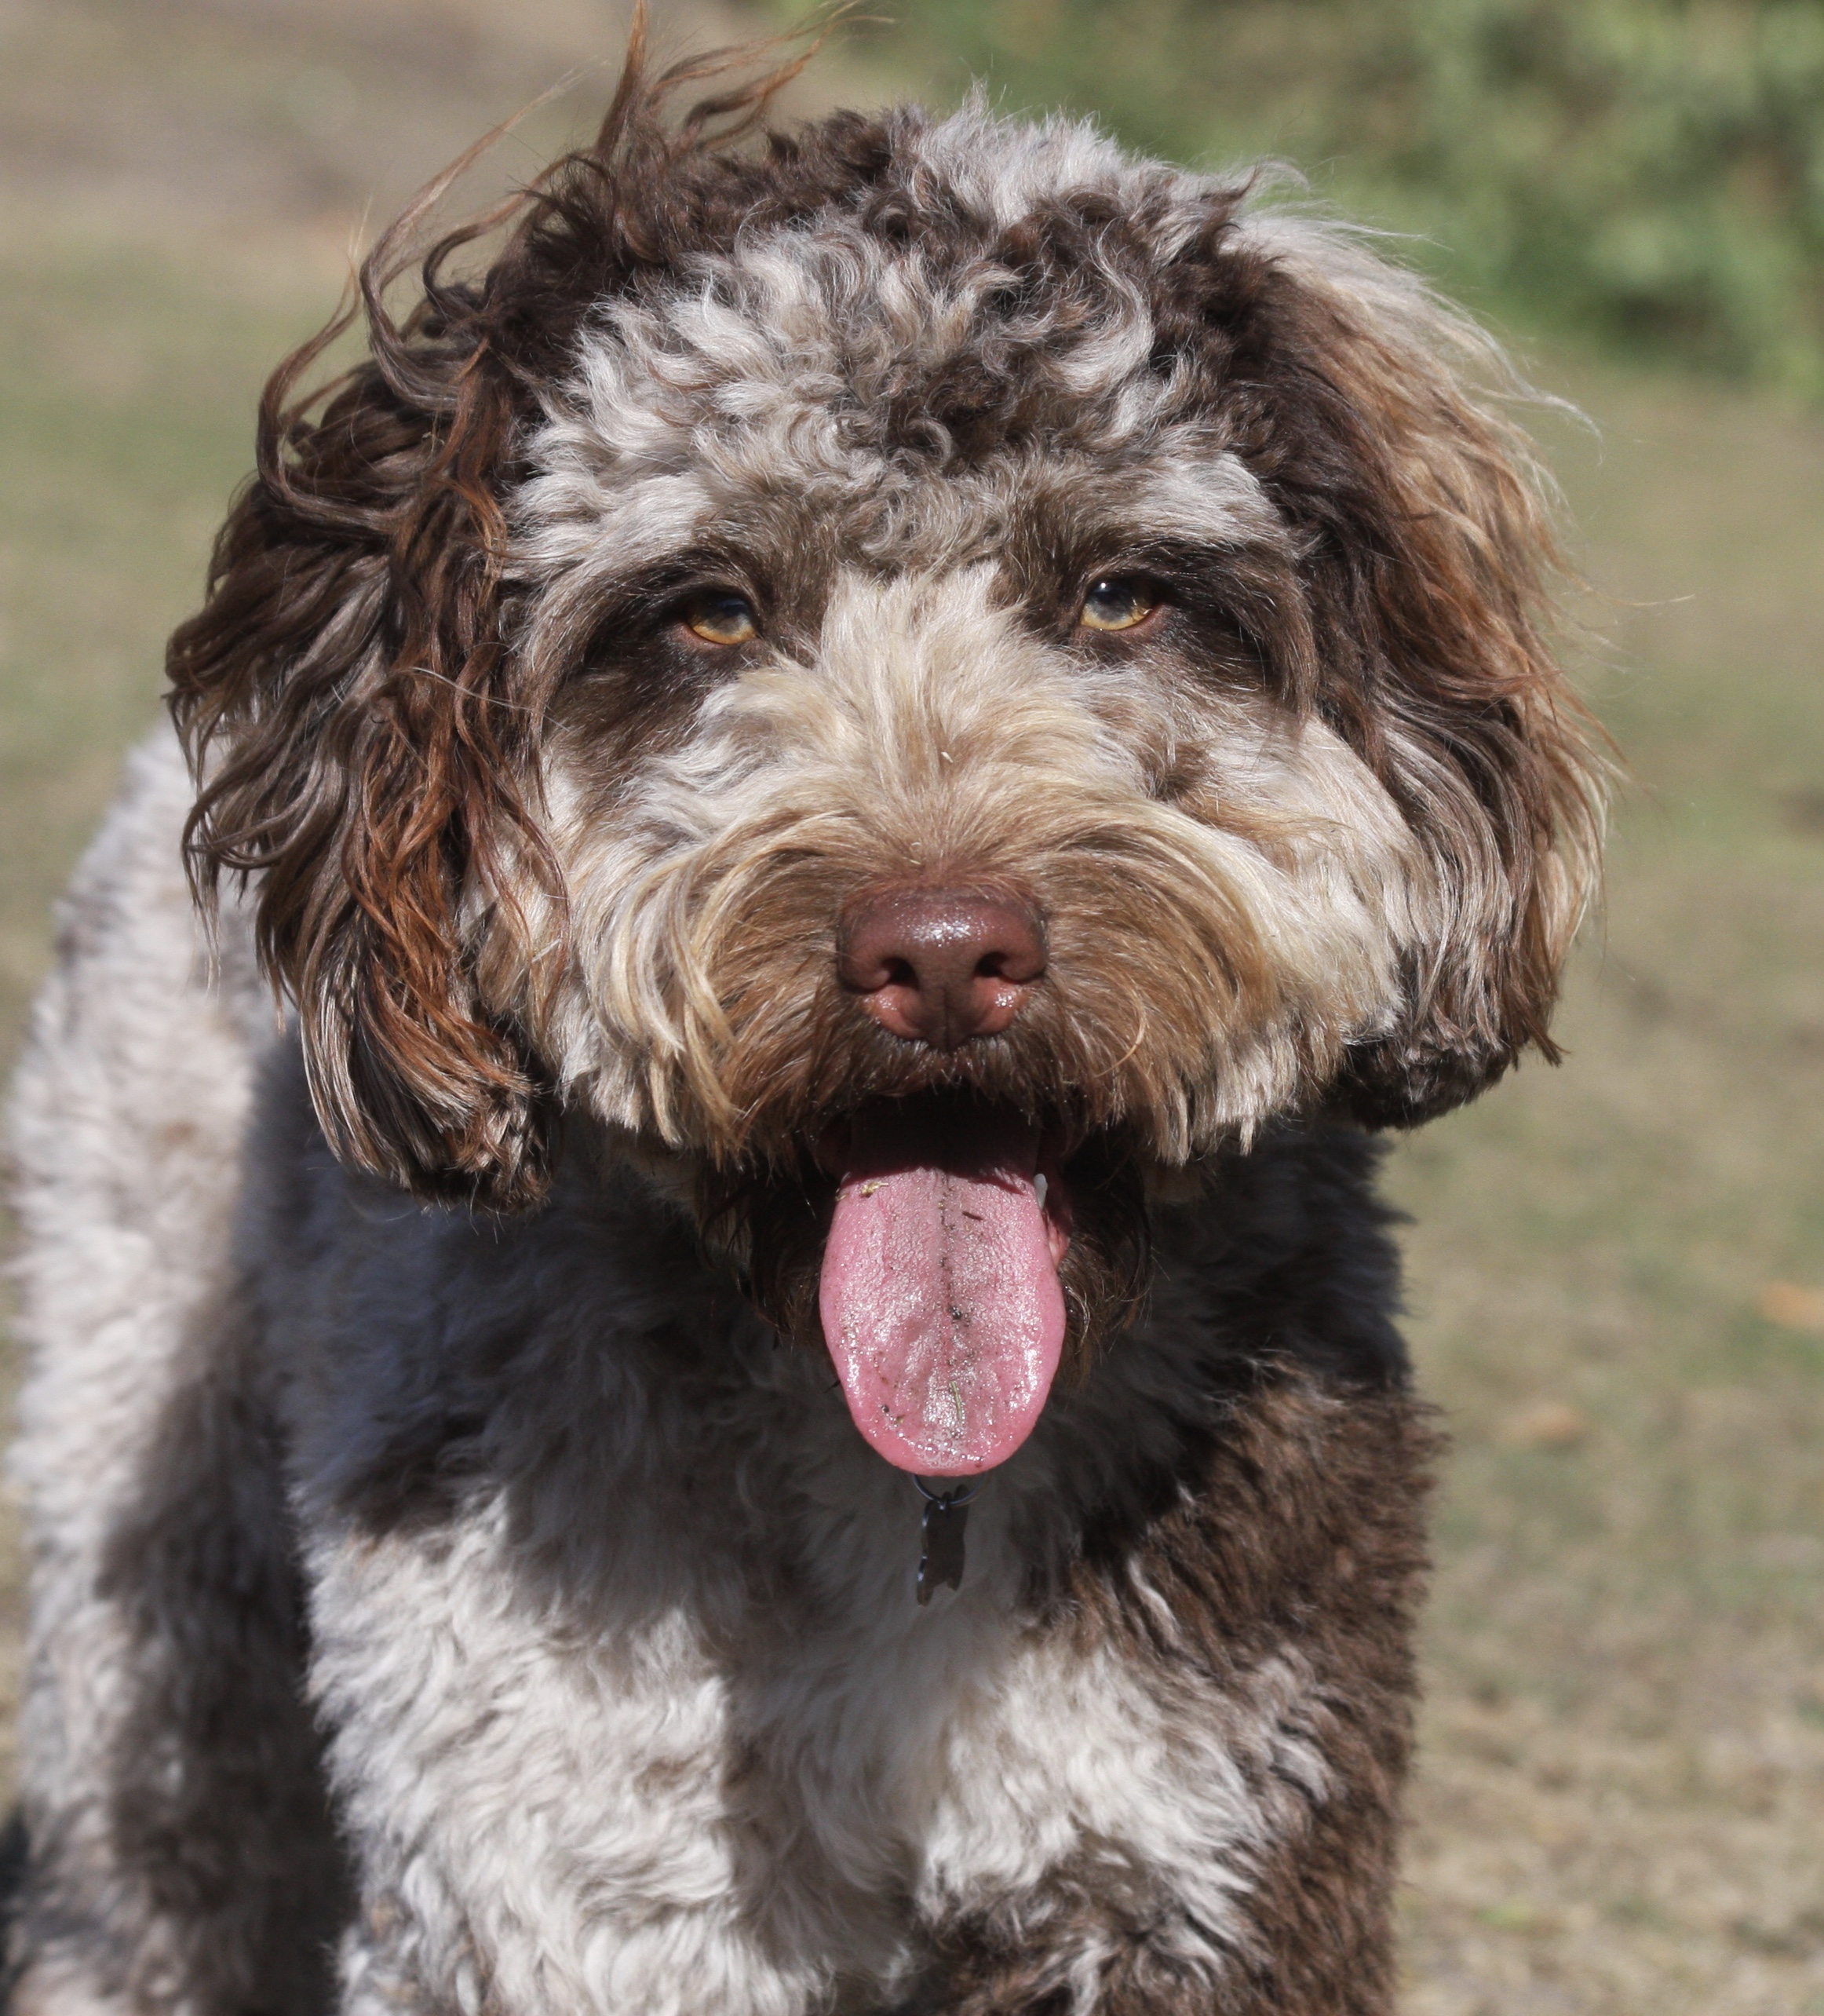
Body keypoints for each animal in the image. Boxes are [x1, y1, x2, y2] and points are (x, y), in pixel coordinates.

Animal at [5, 28, 1603, 2016]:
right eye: (706, 611)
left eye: (1122, 593)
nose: (943, 953)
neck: (907, 1495)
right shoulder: (564, 1878)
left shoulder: (1200, 1843)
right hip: (153, 1554)